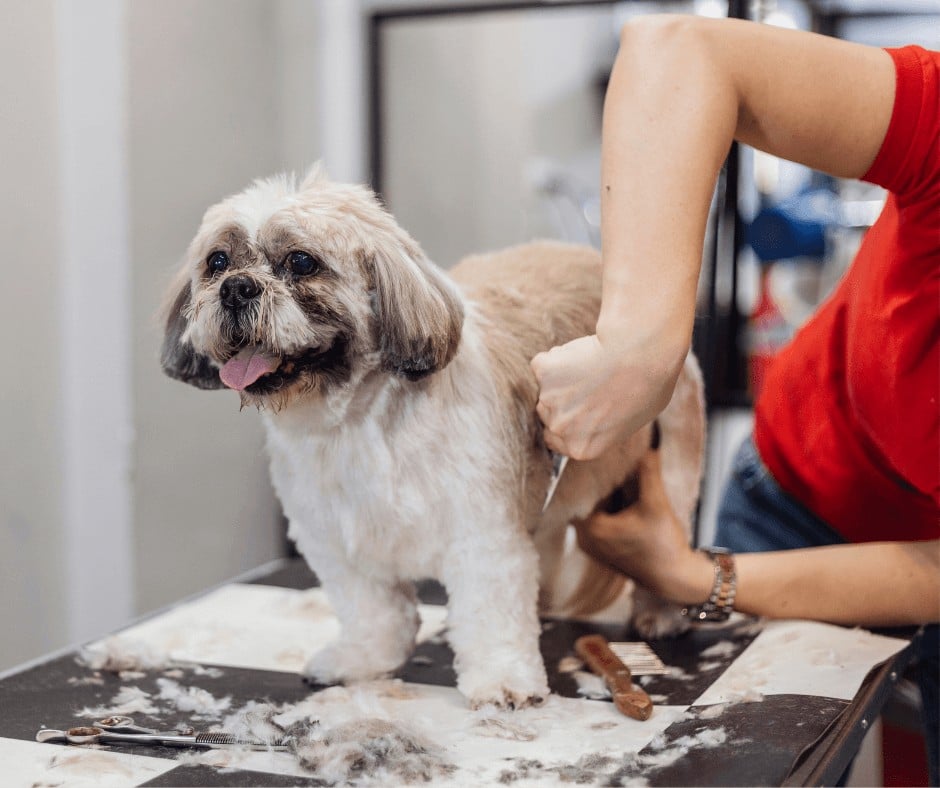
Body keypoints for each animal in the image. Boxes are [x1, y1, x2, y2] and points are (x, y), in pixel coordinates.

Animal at [162, 166, 704, 708]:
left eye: (301, 261)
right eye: (217, 261)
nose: (237, 288)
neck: (355, 425)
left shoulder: (482, 536)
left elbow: (491, 613)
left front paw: (503, 679)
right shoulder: (336, 542)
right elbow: (374, 613)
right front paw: (362, 660)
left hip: (673, 458)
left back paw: (660, 613)